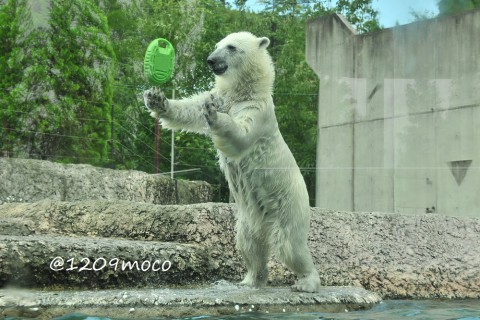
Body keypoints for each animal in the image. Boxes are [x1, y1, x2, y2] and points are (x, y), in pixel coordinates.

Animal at [144, 31, 320, 292]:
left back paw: (306, 282)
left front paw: (215, 115)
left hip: (287, 206)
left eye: (231, 47)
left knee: (289, 245)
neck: (244, 92)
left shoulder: (257, 111)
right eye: (217, 45)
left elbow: (241, 134)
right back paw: (250, 279)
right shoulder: (221, 96)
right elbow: (190, 109)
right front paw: (156, 98)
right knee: (248, 244)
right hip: (249, 218)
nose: (210, 60)